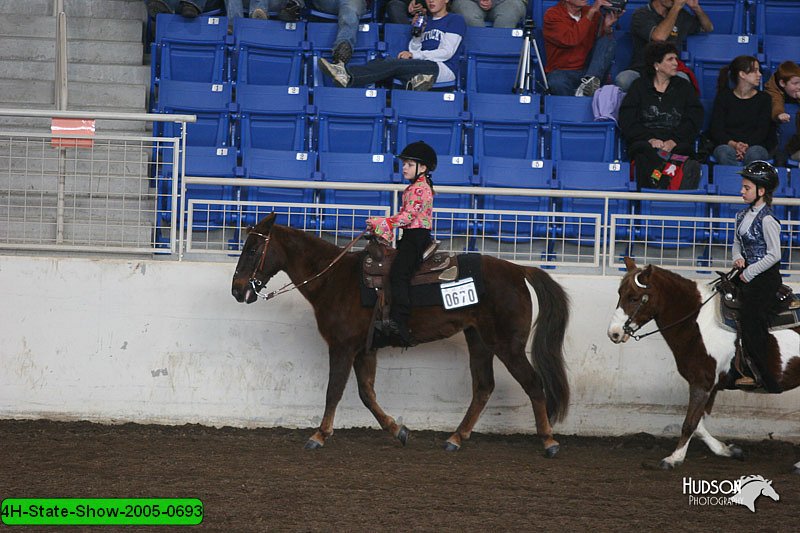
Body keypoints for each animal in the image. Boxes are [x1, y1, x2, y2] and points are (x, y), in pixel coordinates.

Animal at [231, 214, 576, 456]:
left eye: (253, 249)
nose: (237, 290)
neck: (334, 278)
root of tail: (519, 270)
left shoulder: (342, 347)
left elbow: (334, 391)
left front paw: (319, 435)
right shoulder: (364, 349)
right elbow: (367, 394)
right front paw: (398, 430)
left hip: (508, 345)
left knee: (532, 384)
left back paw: (548, 442)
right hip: (478, 339)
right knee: (483, 387)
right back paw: (455, 438)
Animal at [608, 256, 800, 472]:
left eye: (634, 297)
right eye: (620, 294)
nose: (614, 333)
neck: (697, 320)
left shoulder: (702, 382)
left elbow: (690, 423)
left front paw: (673, 458)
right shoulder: (711, 386)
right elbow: (699, 425)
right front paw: (728, 450)